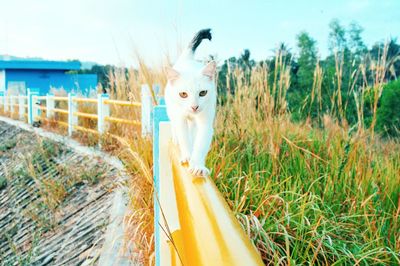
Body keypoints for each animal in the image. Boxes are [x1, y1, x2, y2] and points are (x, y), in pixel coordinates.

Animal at [165, 29, 217, 177]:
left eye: (203, 93)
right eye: (183, 94)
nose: (194, 107)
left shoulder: (206, 122)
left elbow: (201, 144)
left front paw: (198, 165)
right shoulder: (180, 118)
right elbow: (184, 137)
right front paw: (187, 156)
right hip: (172, 110)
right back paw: (176, 139)